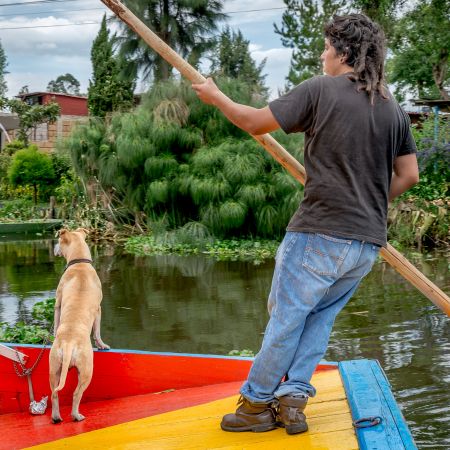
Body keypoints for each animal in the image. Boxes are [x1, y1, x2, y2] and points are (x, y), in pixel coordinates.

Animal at [49, 227, 109, 424]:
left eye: (58, 241)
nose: (53, 247)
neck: (79, 263)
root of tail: (68, 343)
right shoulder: (98, 310)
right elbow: (97, 331)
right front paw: (102, 345)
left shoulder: (58, 304)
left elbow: (56, 321)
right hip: (86, 371)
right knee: (77, 394)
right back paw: (76, 415)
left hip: (54, 369)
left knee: (54, 393)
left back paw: (56, 417)